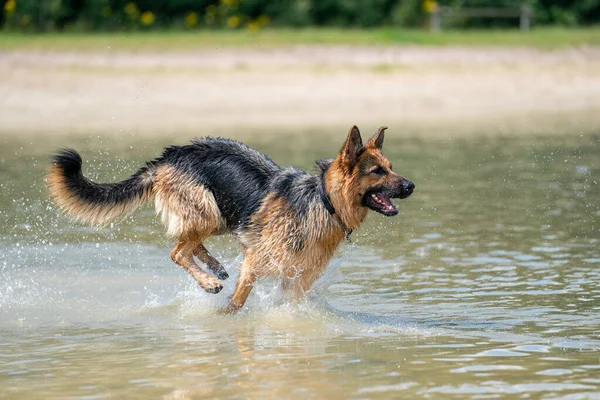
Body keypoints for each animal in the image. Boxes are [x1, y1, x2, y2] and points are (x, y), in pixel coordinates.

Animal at [48, 126, 412, 312]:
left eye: (391, 167)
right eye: (378, 172)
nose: (411, 185)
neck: (322, 203)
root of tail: (169, 155)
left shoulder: (297, 280)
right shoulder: (254, 263)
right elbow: (237, 303)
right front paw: (226, 317)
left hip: (224, 216)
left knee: (186, 242)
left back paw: (214, 266)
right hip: (208, 212)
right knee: (177, 251)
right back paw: (208, 280)